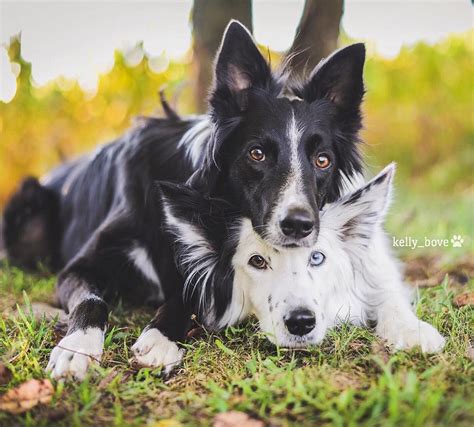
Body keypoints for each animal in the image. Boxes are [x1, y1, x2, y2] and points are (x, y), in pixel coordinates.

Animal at [3, 20, 440, 382]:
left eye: (322, 160)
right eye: (257, 153)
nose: (300, 226)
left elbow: (186, 295)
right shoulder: (80, 268)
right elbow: (93, 301)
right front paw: (77, 347)